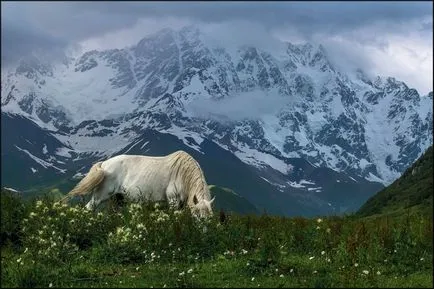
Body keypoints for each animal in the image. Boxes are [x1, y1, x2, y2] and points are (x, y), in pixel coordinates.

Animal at [62, 151, 214, 216]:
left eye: (209, 216)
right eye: (197, 215)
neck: (182, 173)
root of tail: (104, 165)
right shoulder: (173, 200)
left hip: (118, 199)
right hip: (101, 196)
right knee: (88, 208)